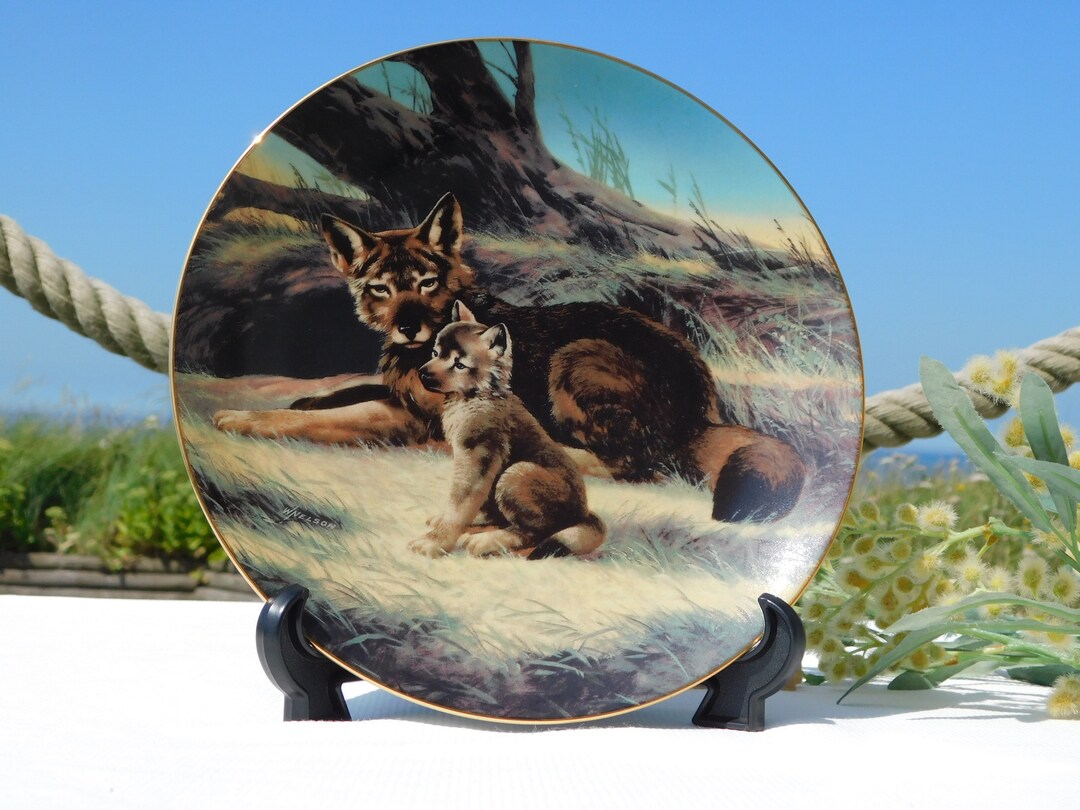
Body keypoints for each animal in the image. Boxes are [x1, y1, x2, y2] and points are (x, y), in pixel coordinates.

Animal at [214, 193, 806, 522]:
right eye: (382, 288)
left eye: (426, 283)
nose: (408, 326)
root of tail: (702, 409)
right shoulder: (396, 394)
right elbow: (339, 394)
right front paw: (302, 398)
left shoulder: (409, 417)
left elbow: (324, 418)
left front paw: (240, 417)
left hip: (574, 358)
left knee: (638, 464)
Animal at [410, 302, 605, 558]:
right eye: (435, 354)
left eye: (459, 365)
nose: (422, 373)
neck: (477, 396)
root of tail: (583, 514)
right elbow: (462, 504)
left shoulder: (476, 457)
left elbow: (459, 506)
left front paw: (434, 542)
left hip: (516, 473)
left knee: (532, 531)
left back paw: (489, 540)